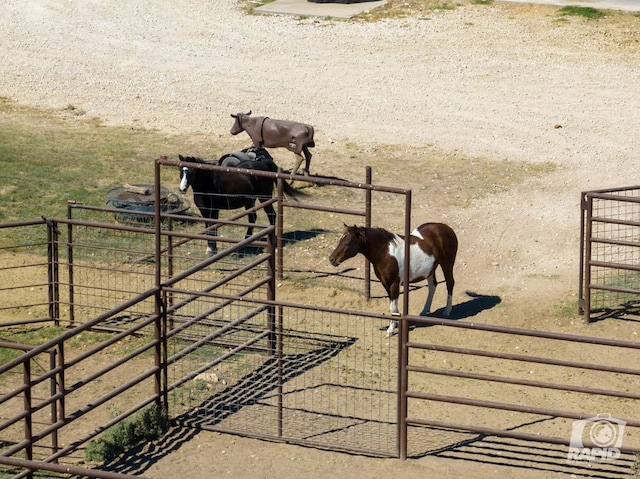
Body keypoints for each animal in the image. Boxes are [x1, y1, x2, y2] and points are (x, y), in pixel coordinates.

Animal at [328, 223, 458, 336]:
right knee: (432, 286)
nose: (332, 259)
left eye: (348, 242)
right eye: (340, 240)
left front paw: (391, 329)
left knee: (450, 283)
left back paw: (447, 312)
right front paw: (394, 325)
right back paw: (424, 311)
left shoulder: (395, 284)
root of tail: (447, 228)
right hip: (430, 269)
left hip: (447, 264)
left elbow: (393, 307)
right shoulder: (385, 283)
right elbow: (392, 306)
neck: (385, 253)